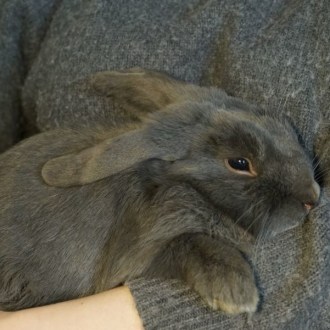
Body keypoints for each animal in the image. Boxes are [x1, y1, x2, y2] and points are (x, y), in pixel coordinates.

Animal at [0, 69, 320, 312]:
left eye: (282, 124)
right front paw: (236, 293)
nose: (312, 197)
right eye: (240, 163)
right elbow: (190, 242)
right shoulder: (140, 255)